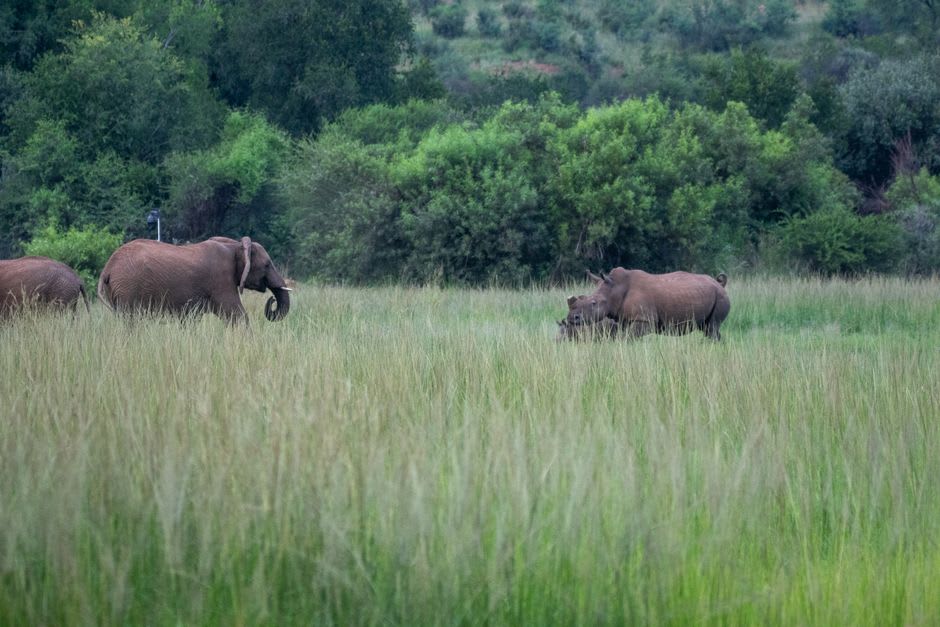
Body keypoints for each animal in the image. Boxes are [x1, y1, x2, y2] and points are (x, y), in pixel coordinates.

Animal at [97, 236, 290, 323]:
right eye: (267, 265)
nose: (272, 300)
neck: (234, 246)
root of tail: (107, 269)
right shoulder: (221, 281)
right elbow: (238, 315)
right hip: (127, 288)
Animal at [565, 268, 730, 340]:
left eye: (594, 303)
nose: (572, 318)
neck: (615, 289)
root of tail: (720, 284)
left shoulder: (644, 319)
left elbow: (629, 337)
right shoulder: (624, 319)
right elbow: (623, 337)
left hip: (720, 296)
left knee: (712, 327)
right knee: (709, 328)